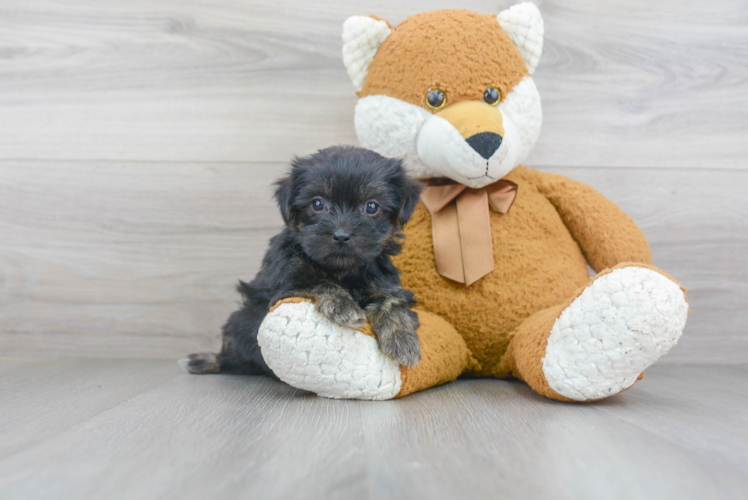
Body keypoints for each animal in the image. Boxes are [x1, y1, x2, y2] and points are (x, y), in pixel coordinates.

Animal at [184, 145, 424, 376]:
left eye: (371, 207)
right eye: (317, 204)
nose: (341, 235)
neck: (342, 270)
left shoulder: (384, 281)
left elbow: (392, 301)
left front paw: (403, 339)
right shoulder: (284, 285)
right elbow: (317, 282)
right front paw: (343, 306)